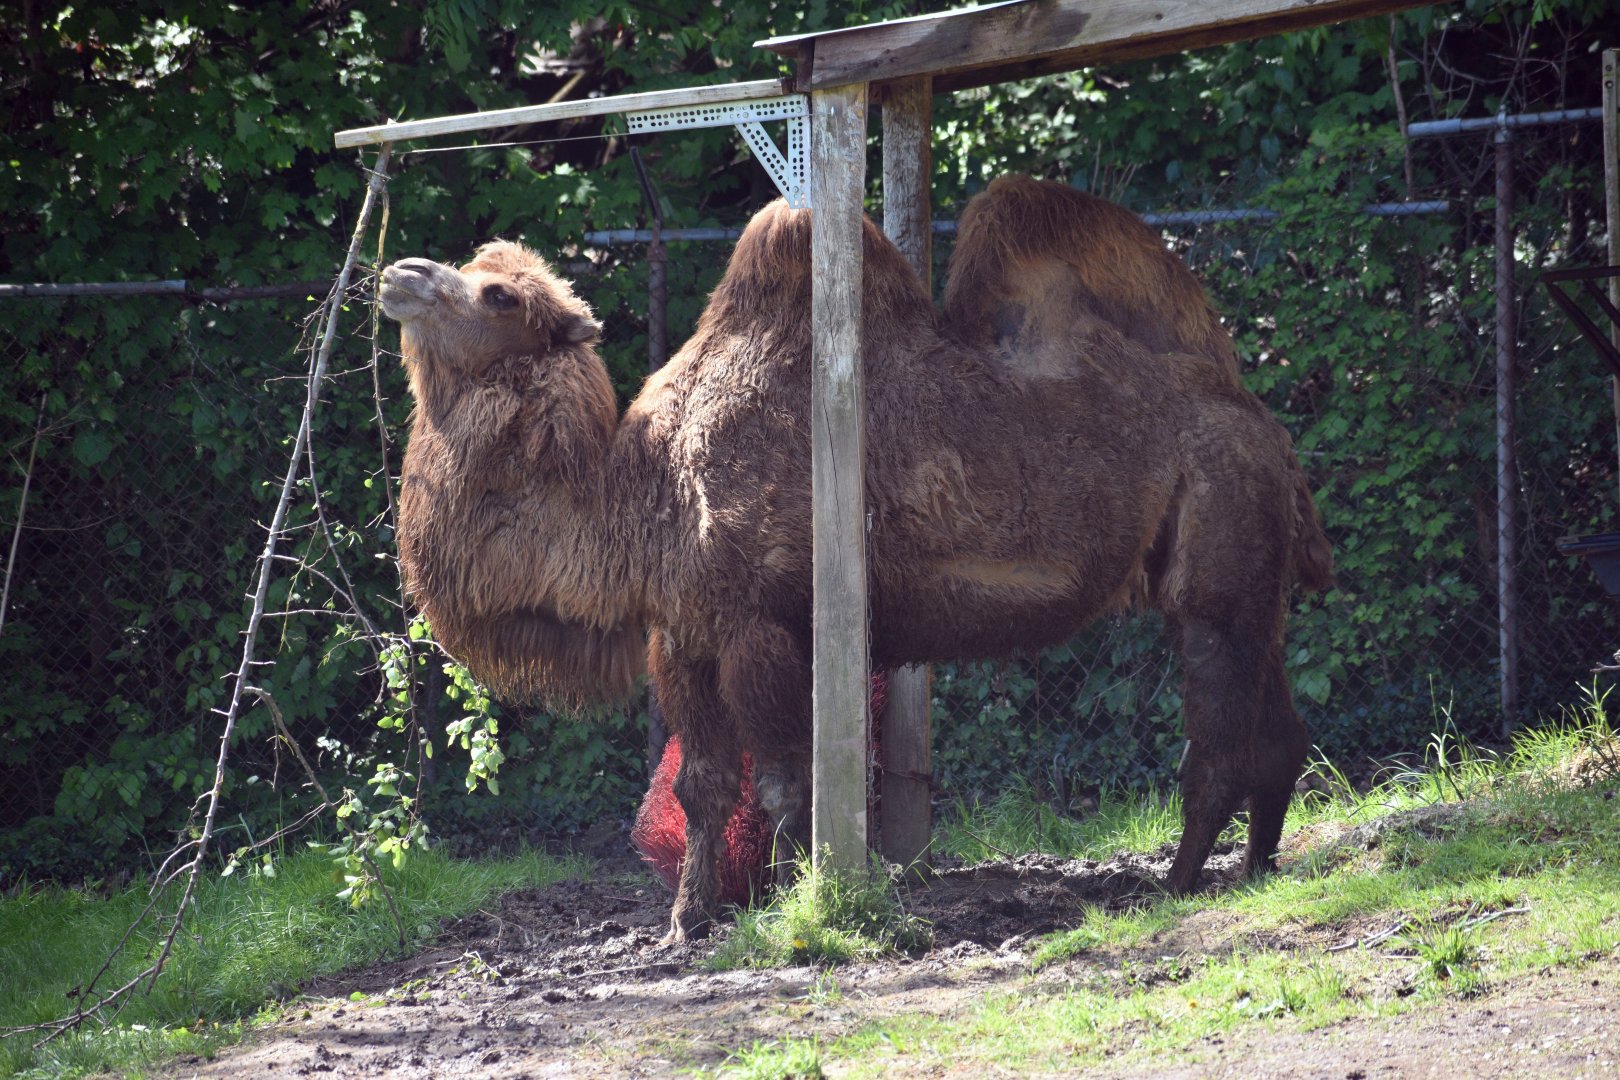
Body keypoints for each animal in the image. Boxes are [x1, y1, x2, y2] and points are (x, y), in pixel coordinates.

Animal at [382, 200, 1330, 942]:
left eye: (499, 293)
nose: (400, 271)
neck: (641, 498)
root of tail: (1268, 431)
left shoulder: (760, 628)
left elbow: (784, 781)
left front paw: (792, 903)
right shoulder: (683, 635)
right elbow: (701, 783)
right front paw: (686, 923)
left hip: (1216, 549)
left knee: (1217, 731)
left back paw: (1174, 887)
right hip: (1251, 573)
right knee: (1278, 721)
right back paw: (1257, 870)